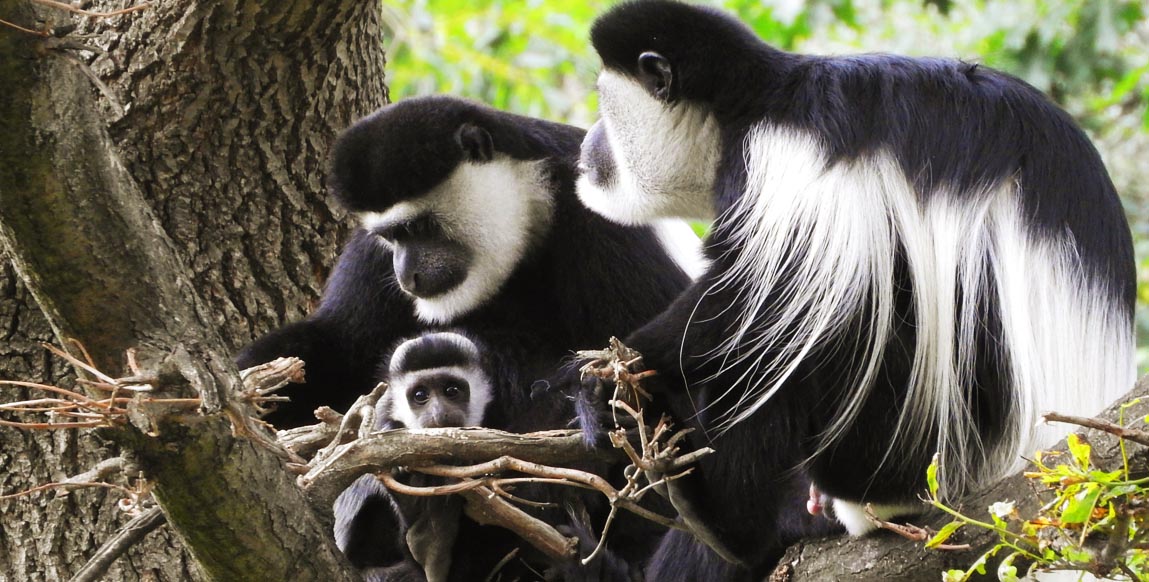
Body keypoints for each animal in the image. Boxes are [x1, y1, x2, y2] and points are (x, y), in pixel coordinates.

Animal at [236, 95, 693, 429]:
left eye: (419, 227)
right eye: (391, 236)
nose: (406, 275)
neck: (534, 201)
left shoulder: (604, 226)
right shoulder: (370, 253)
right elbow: (340, 343)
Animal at [579, 2, 1135, 580]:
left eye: (604, 103)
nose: (588, 138)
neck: (754, 105)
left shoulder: (784, 164)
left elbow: (749, 299)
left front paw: (611, 376)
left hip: (934, 441)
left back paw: (731, 522)